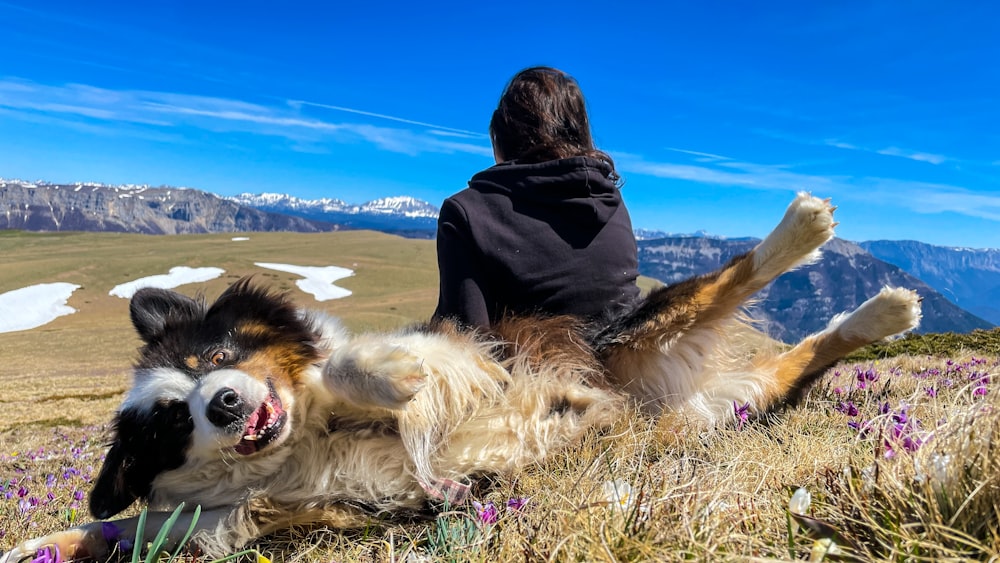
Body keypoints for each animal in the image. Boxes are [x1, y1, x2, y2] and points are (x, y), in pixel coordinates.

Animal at [0, 193, 920, 560]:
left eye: (217, 360)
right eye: (170, 422)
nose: (225, 404)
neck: (304, 444)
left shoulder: (470, 356)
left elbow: (354, 361)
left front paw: (387, 376)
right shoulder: (224, 522)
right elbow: (109, 529)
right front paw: (29, 544)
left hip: (628, 341)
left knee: (729, 277)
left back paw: (808, 230)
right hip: (718, 410)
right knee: (804, 352)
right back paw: (884, 311)